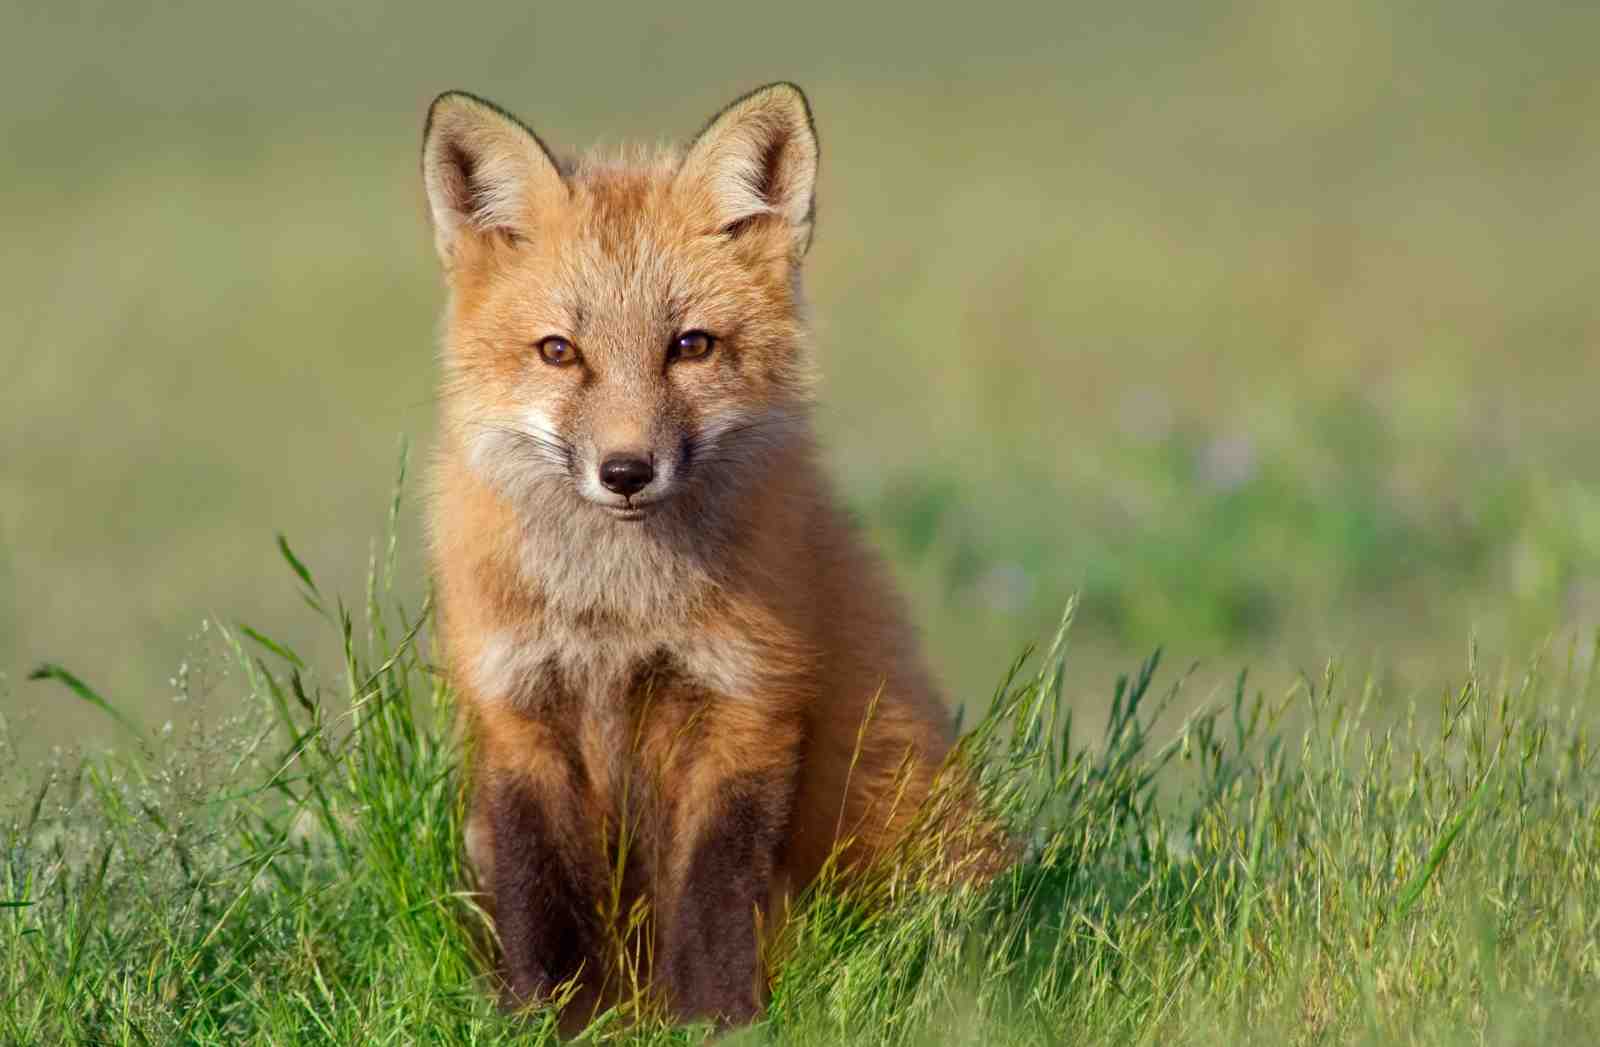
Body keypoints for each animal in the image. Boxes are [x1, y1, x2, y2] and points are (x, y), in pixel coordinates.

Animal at [421, 82, 1002, 1030]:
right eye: (559, 352)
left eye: (690, 345)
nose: (625, 471)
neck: (618, 615)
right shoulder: (517, 711)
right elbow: (539, 896)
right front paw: (547, 1020)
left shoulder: (746, 703)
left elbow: (712, 896)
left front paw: (715, 1022)